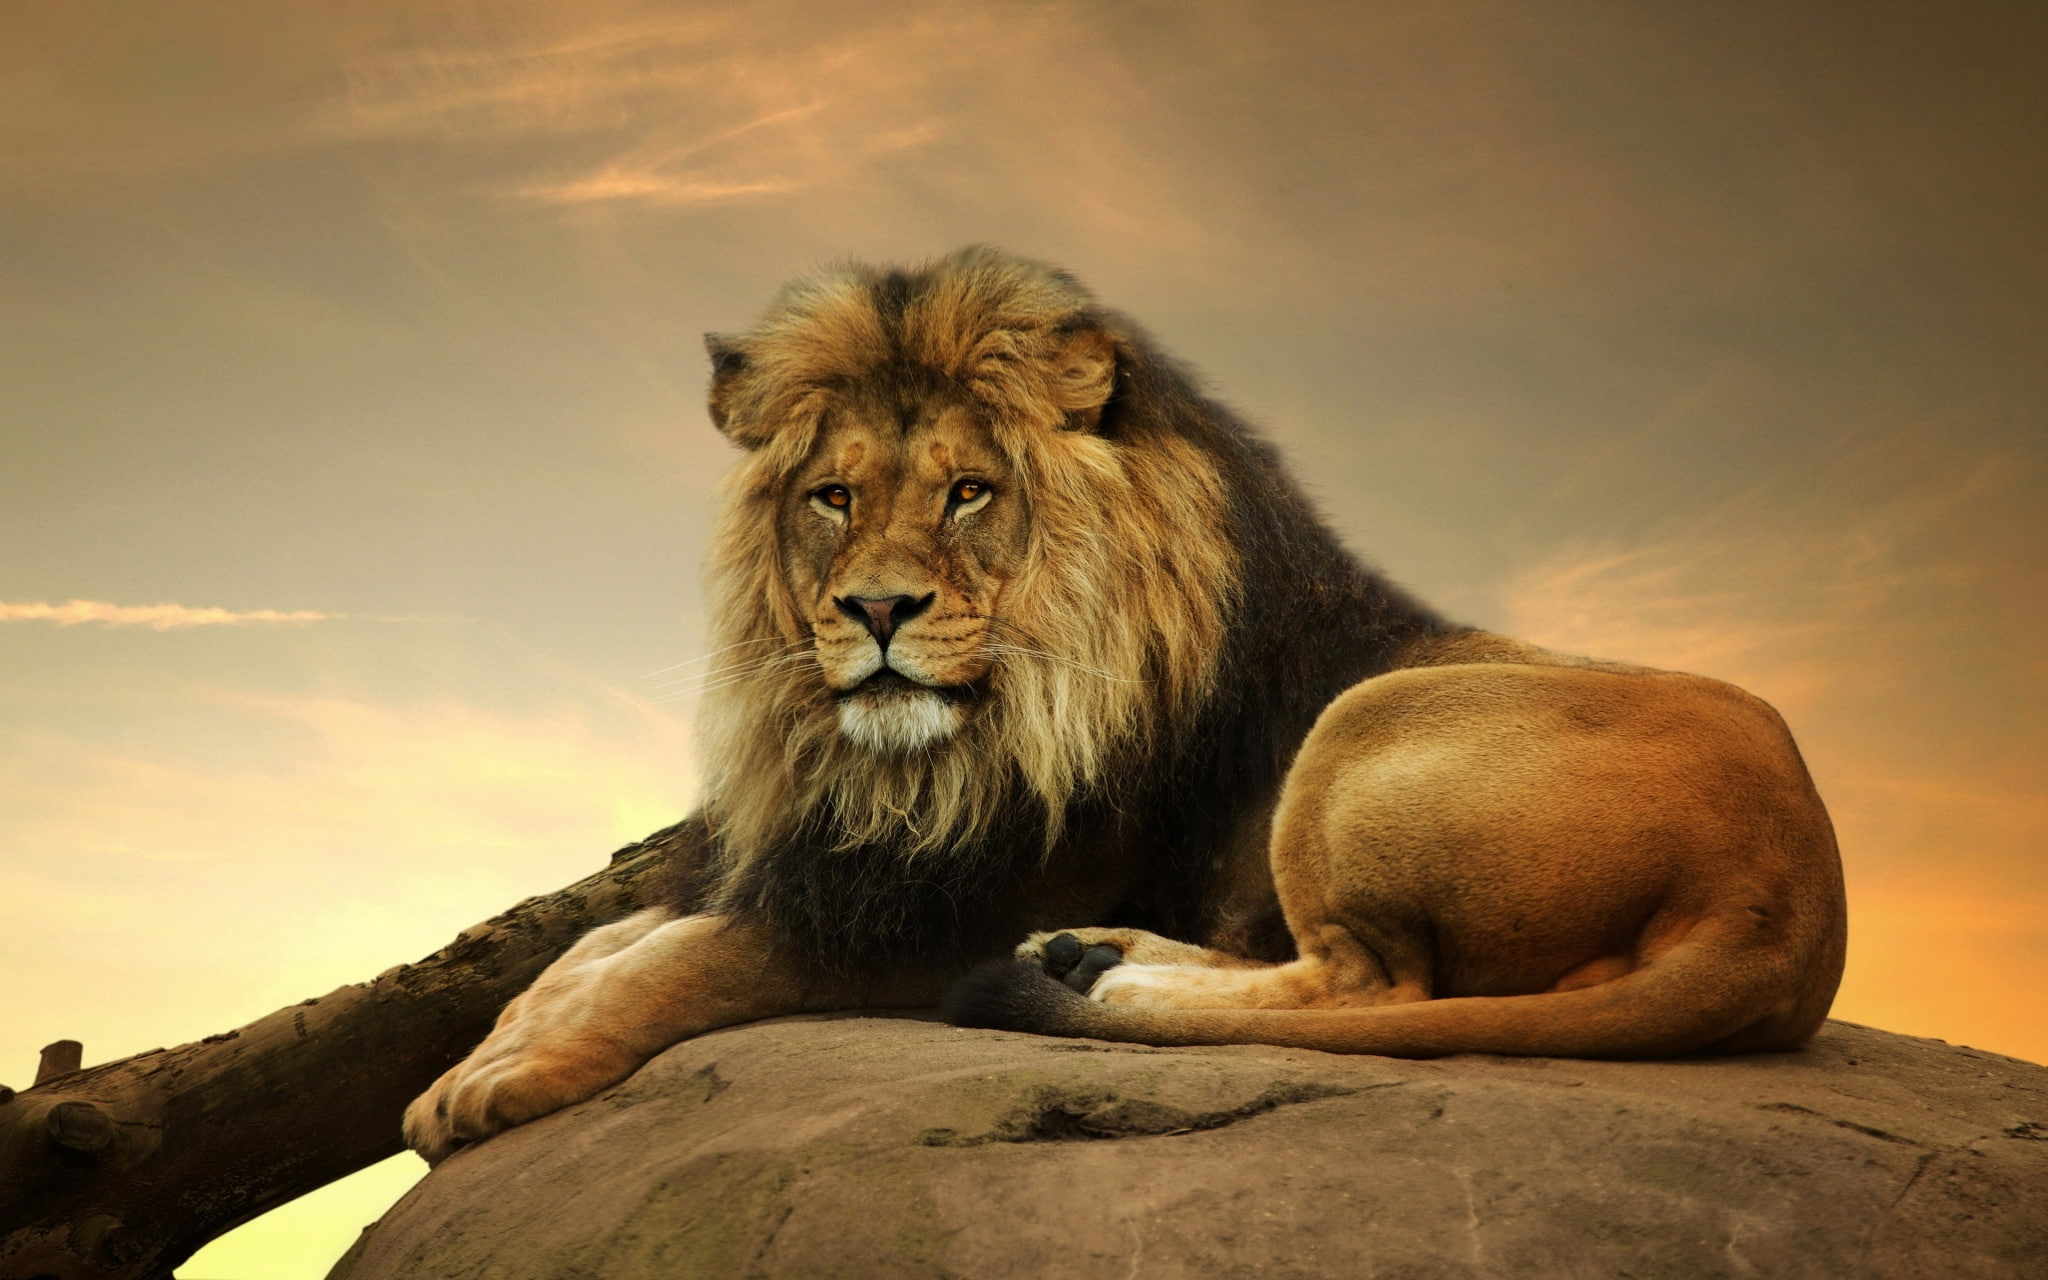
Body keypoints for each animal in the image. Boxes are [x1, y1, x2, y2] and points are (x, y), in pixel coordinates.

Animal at [403, 247, 1847, 1163]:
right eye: (832, 497)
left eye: (967, 493)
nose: (876, 611)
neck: (918, 761)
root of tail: (1790, 904)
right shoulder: (831, 859)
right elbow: (598, 945)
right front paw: (478, 1056)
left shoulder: (926, 913)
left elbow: (684, 960)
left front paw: (508, 1078)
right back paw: (1092, 960)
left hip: (1364, 728)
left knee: (1368, 984)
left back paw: (1101, 975)